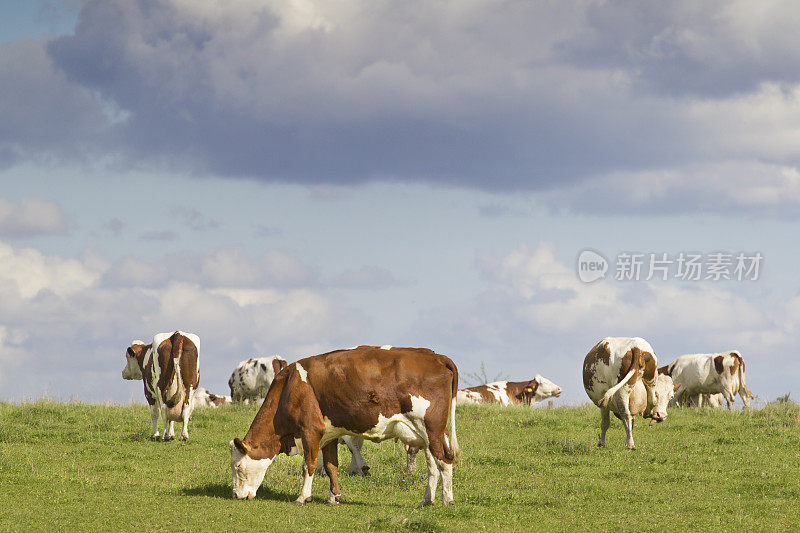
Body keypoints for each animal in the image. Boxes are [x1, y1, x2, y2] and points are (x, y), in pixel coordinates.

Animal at [228, 344, 460, 508]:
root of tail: (436, 357)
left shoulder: (311, 430)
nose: (236, 495)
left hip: (431, 428)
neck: (290, 387)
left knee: (444, 461)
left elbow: (308, 465)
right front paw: (334, 497)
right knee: (433, 466)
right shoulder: (329, 434)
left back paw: (447, 500)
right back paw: (426, 500)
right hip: (426, 433)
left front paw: (303, 497)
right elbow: (331, 466)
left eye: (237, 466)